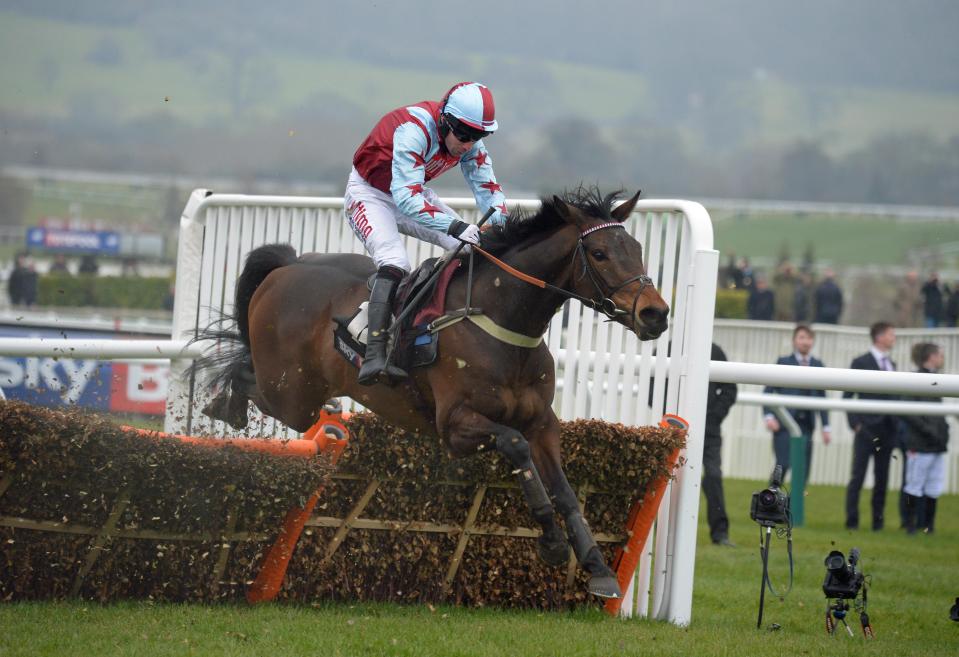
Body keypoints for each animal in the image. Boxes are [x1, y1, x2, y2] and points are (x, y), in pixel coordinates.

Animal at [197, 186, 668, 600]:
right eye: (600, 253)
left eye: (637, 248)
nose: (656, 314)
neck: (502, 321)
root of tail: (286, 266)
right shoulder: (455, 425)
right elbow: (516, 447)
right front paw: (551, 542)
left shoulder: (543, 423)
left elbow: (566, 490)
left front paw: (597, 567)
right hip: (291, 395)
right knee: (249, 378)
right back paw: (225, 403)